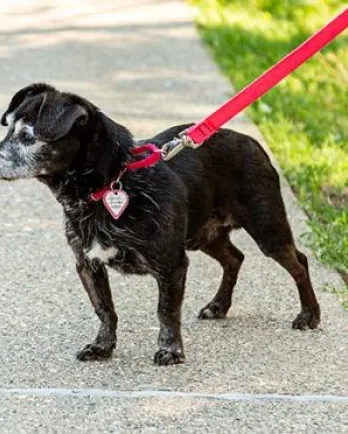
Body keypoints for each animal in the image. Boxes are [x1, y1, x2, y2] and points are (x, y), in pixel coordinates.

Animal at [0, 83, 320, 364]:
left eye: (27, 136)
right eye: (8, 129)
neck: (112, 182)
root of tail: (254, 143)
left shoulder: (172, 265)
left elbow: (165, 311)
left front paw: (171, 351)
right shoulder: (88, 264)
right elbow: (104, 309)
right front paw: (102, 347)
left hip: (267, 228)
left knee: (299, 262)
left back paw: (310, 315)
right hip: (203, 234)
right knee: (235, 258)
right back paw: (218, 306)